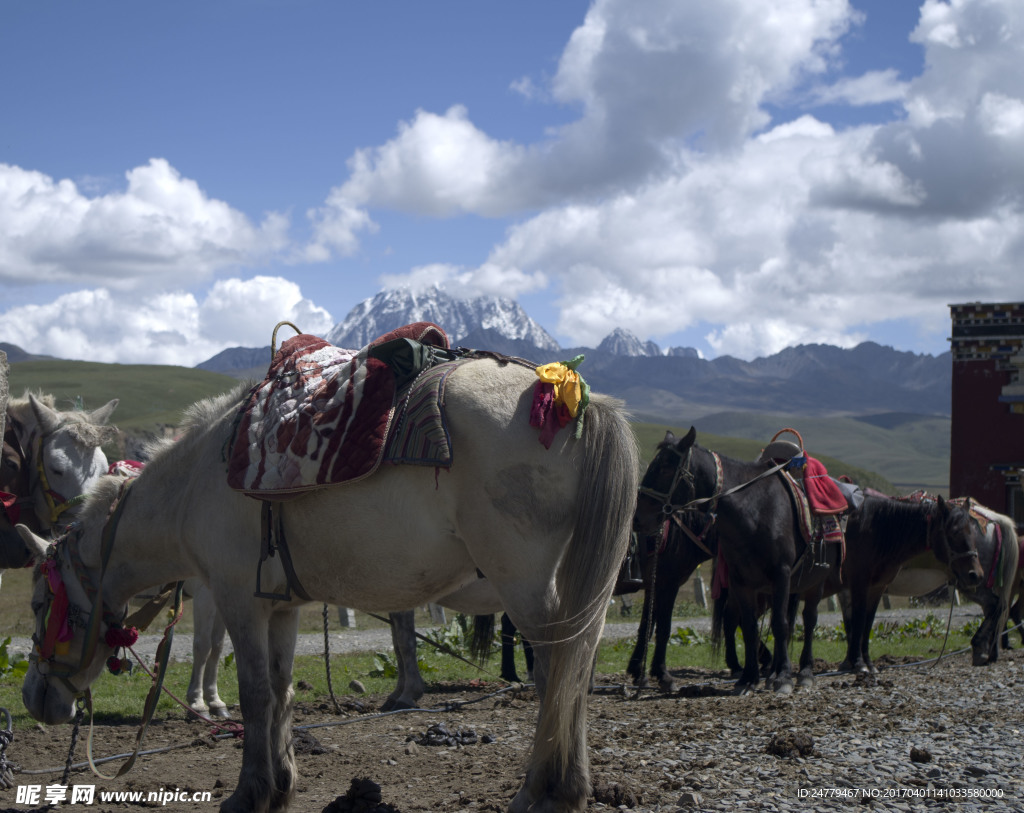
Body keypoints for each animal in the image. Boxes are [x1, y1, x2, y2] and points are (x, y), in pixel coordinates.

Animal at [19, 360, 634, 810]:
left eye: (40, 602)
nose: (32, 698)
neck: (193, 489)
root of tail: (574, 398)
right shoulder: (282, 606)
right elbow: (282, 688)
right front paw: (283, 784)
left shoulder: (237, 600)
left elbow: (253, 692)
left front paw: (249, 794)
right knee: (576, 666)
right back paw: (567, 788)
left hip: (524, 583)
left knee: (556, 672)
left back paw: (544, 791)